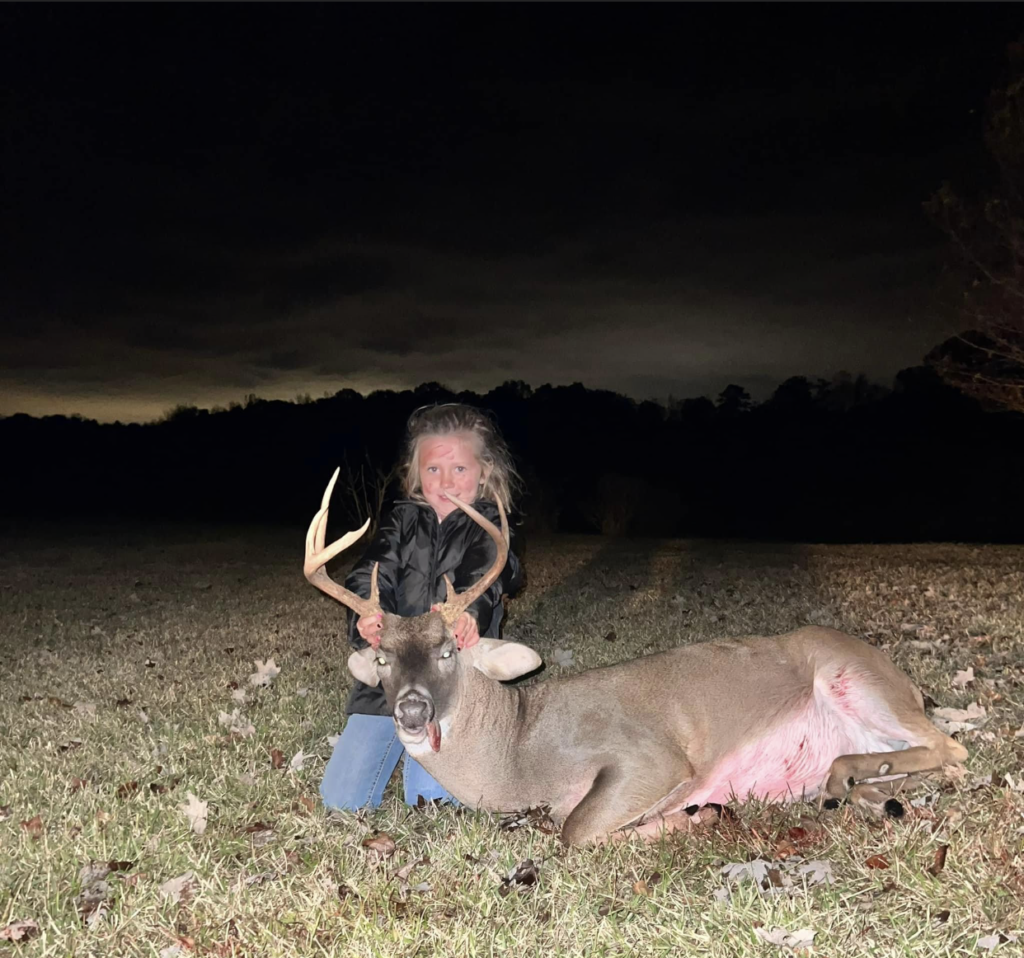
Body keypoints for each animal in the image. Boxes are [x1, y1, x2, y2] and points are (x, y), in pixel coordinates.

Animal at [305, 469, 969, 845]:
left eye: (447, 651)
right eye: (382, 660)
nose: (413, 713)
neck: (521, 750)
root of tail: (911, 685)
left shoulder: (652, 757)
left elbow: (574, 831)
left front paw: (696, 815)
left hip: (851, 674)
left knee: (952, 749)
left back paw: (847, 778)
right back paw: (865, 788)